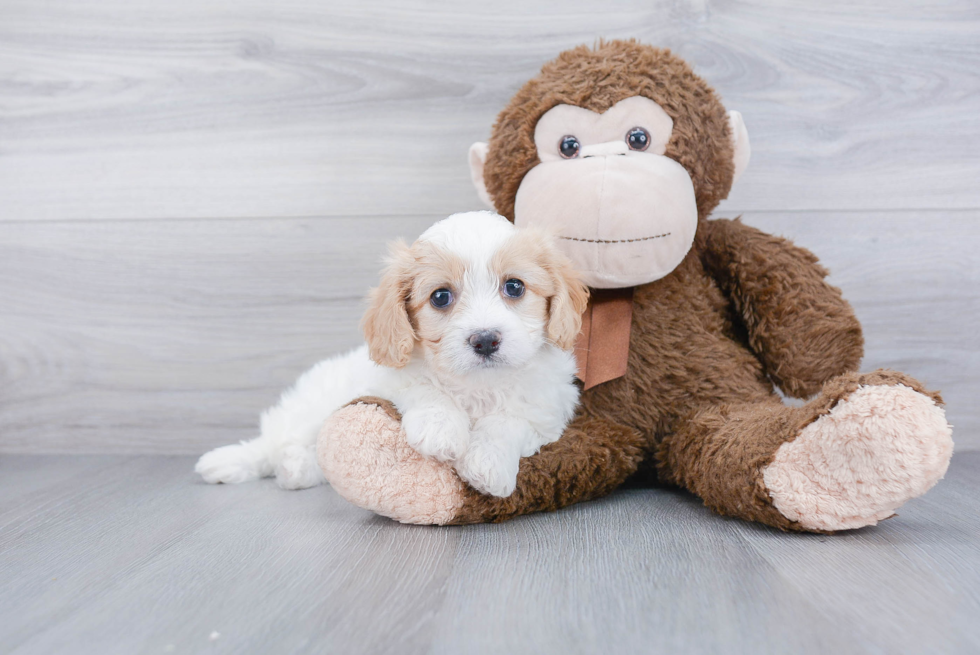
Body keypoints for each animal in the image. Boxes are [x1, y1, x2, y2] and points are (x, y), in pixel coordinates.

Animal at [195, 214, 584, 498]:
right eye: (441, 296)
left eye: (514, 286)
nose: (485, 340)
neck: (477, 386)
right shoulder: (388, 377)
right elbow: (424, 387)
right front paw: (441, 429)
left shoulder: (547, 409)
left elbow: (509, 421)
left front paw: (488, 463)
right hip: (313, 404)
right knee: (273, 440)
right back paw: (230, 462)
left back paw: (296, 468)